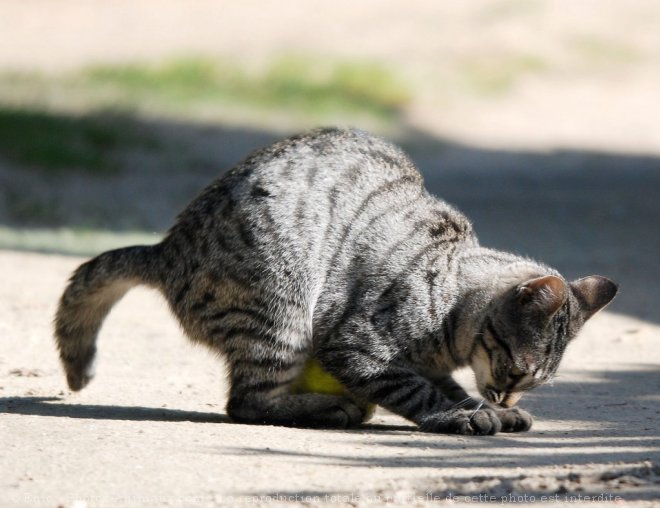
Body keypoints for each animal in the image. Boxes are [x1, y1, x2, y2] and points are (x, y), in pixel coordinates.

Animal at [55, 126, 620, 432]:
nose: (507, 398)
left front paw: (484, 408)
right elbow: (417, 391)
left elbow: (446, 385)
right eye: (516, 370)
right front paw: (465, 416)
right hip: (281, 308)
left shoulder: (429, 363)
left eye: (532, 381)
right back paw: (333, 408)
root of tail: (167, 248)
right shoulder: (354, 346)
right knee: (247, 403)